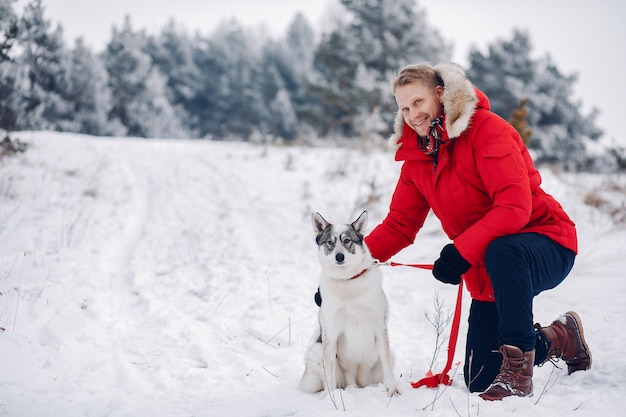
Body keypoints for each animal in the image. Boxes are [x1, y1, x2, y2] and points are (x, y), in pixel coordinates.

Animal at [298, 211, 400, 396]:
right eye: (330, 242)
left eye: (347, 240)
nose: (339, 256)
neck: (348, 280)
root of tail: (354, 381)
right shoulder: (330, 333)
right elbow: (329, 371)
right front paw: (329, 398)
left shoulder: (380, 327)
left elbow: (388, 368)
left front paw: (393, 391)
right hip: (317, 351)